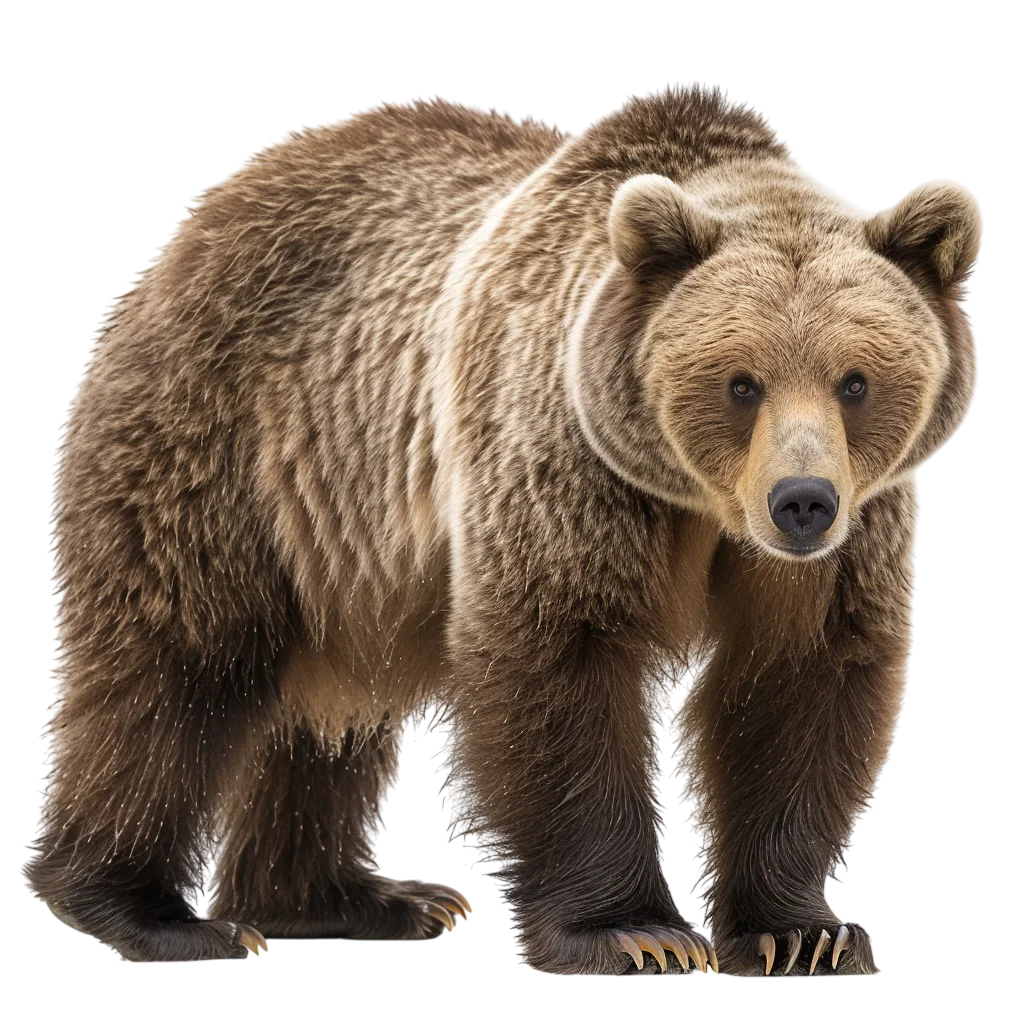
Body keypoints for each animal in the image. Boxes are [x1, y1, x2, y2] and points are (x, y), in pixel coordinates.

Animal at [25, 85, 982, 975]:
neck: (699, 503)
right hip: (226, 441)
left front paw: (800, 933)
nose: (802, 501)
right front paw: (637, 933)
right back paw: (151, 913)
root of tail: (201, 215)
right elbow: (558, 656)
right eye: (740, 381)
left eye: (855, 380)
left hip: (347, 544)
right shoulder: (562, 458)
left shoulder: (846, 538)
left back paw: (357, 899)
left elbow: (799, 681)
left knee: (330, 712)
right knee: (173, 659)